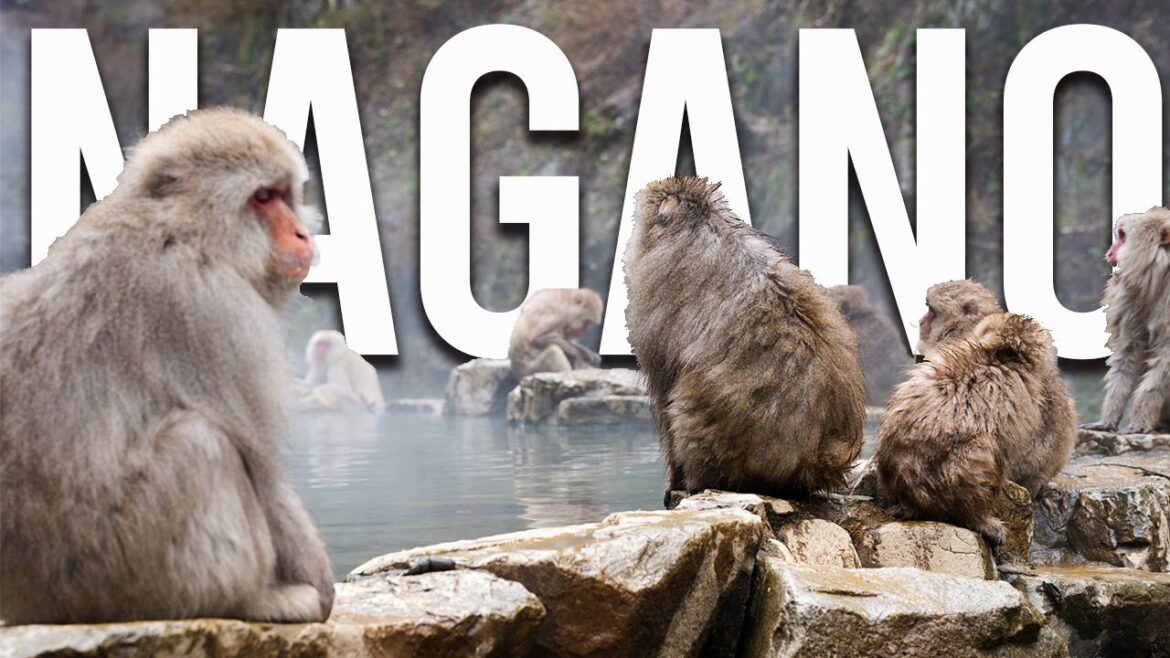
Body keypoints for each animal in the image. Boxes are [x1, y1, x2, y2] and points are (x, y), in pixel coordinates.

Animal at [0, 108, 334, 624]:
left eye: (283, 194)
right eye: (261, 198)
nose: (301, 234)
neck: (181, 230)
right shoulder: (212, 309)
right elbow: (263, 472)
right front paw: (320, 589)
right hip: (123, 569)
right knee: (205, 444)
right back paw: (254, 600)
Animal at [1084, 207, 1170, 434]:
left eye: (1122, 236)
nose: (1110, 251)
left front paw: (1141, 417)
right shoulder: (1131, 293)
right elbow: (1129, 349)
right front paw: (1108, 419)